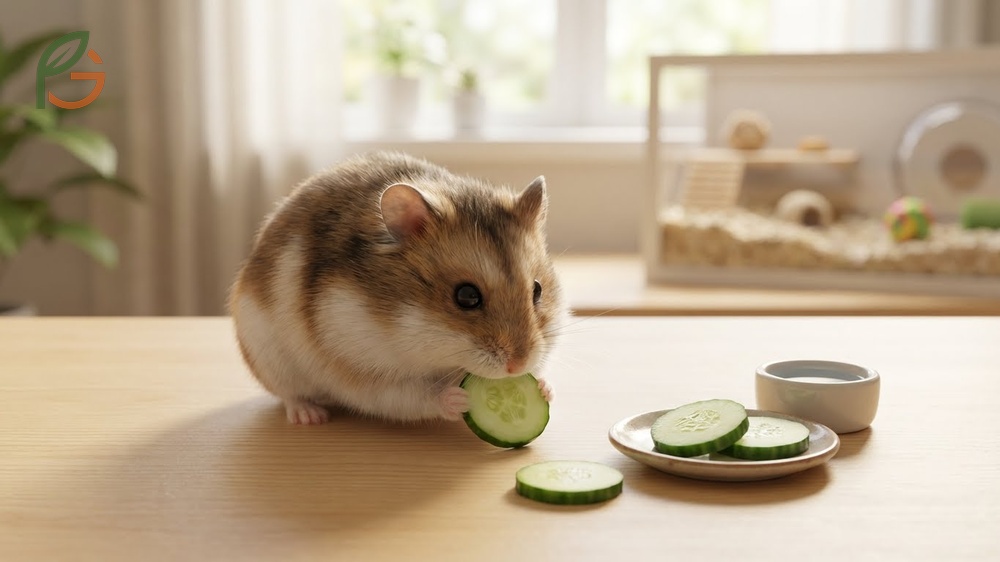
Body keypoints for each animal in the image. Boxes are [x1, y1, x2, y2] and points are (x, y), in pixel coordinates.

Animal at [229, 151, 568, 425]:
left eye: (537, 290)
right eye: (466, 296)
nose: (518, 366)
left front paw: (544, 389)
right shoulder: (361, 368)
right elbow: (412, 395)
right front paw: (460, 398)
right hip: (270, 358)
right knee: (290, 395)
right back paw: (310, 417)